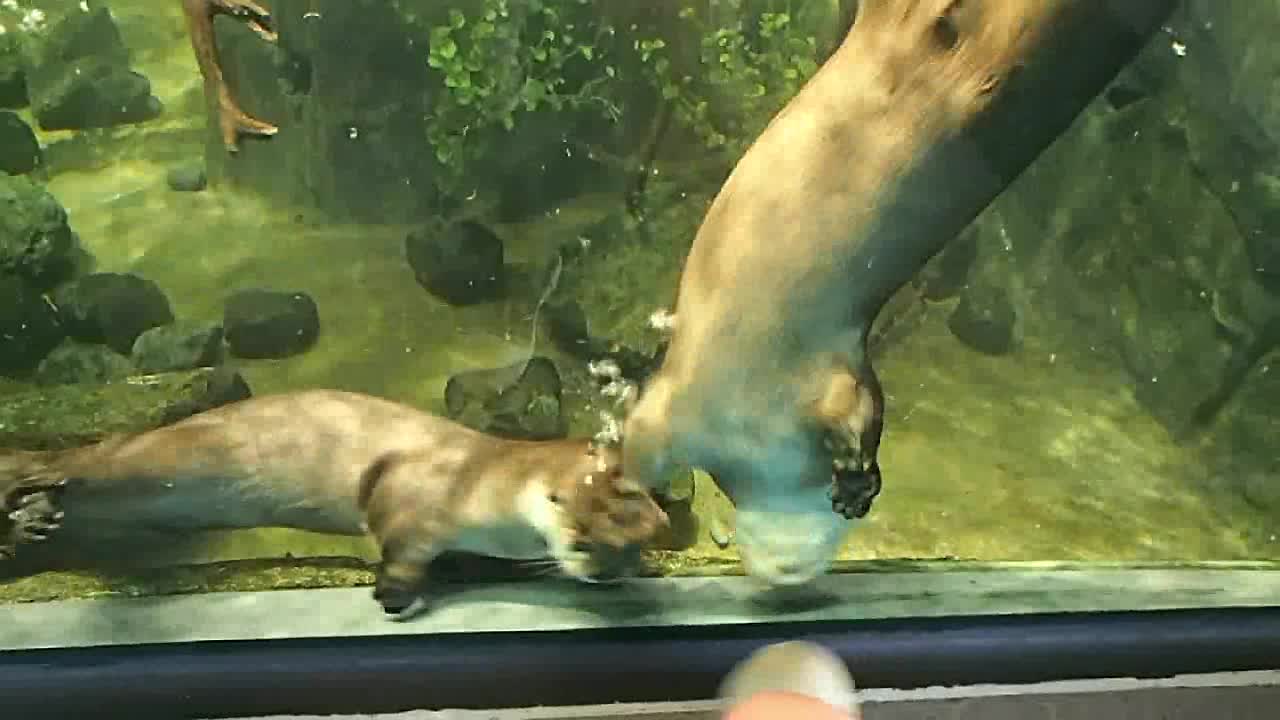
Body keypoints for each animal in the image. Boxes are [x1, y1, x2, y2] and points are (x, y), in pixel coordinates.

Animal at [2, 386, 670, 617]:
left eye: (641, 541)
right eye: (584, 537)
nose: (613, 571)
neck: (482, 486)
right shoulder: (412, 491)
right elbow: (396, 543)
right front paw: (396, 596)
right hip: (108, 466)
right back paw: (31, 513)